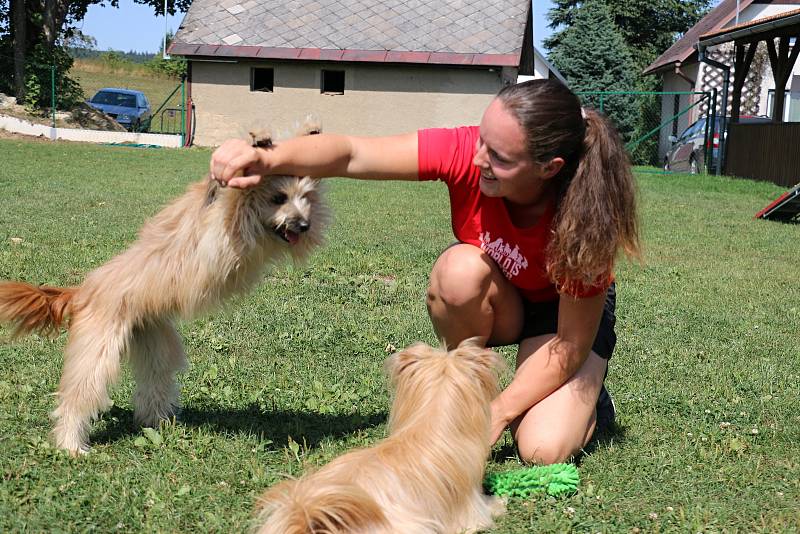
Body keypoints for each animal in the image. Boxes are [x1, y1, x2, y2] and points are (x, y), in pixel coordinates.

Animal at [0, 119, 328, 454]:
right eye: (279, 198)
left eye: (305, 197)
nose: (304, 226)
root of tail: (82, 292)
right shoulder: (222, 227)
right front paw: (261, 142)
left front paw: (308, 135)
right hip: (97, 350)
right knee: (78, 396)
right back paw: (71, 444)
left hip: (153, 340)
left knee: (153, 384)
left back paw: (158, 423)